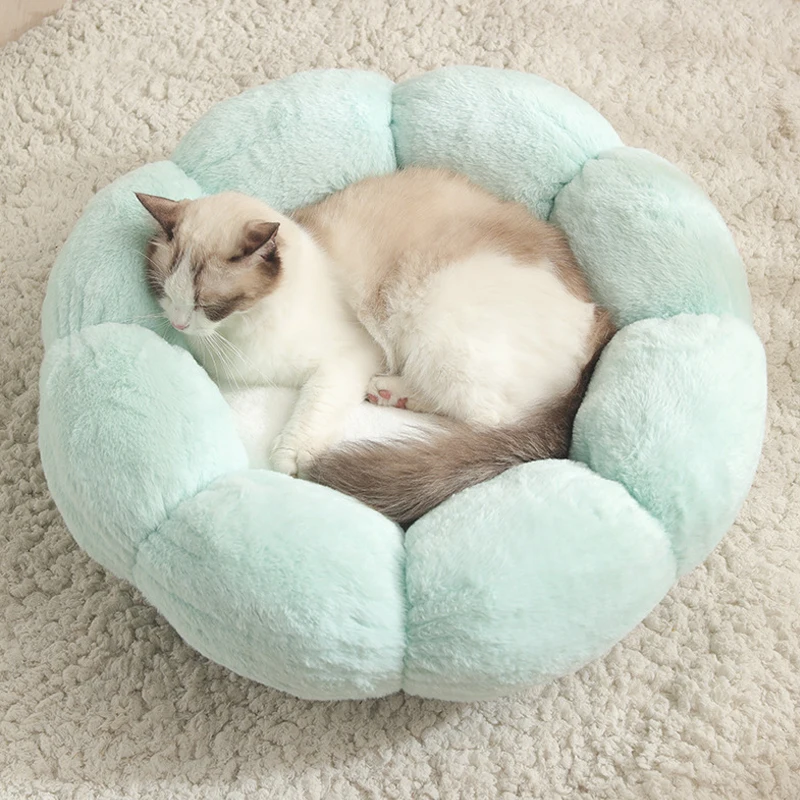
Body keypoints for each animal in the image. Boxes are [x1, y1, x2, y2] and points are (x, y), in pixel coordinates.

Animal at [137, 167, 615, 524]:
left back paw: (394, 395)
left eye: (208, 304)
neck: (240, 332)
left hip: (432, 324)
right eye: (163, 291)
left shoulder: (349, 356)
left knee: (487, 420)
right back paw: (389, 393)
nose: (178, 323)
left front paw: (289, 459)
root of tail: (601, 320)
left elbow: (310, 410)